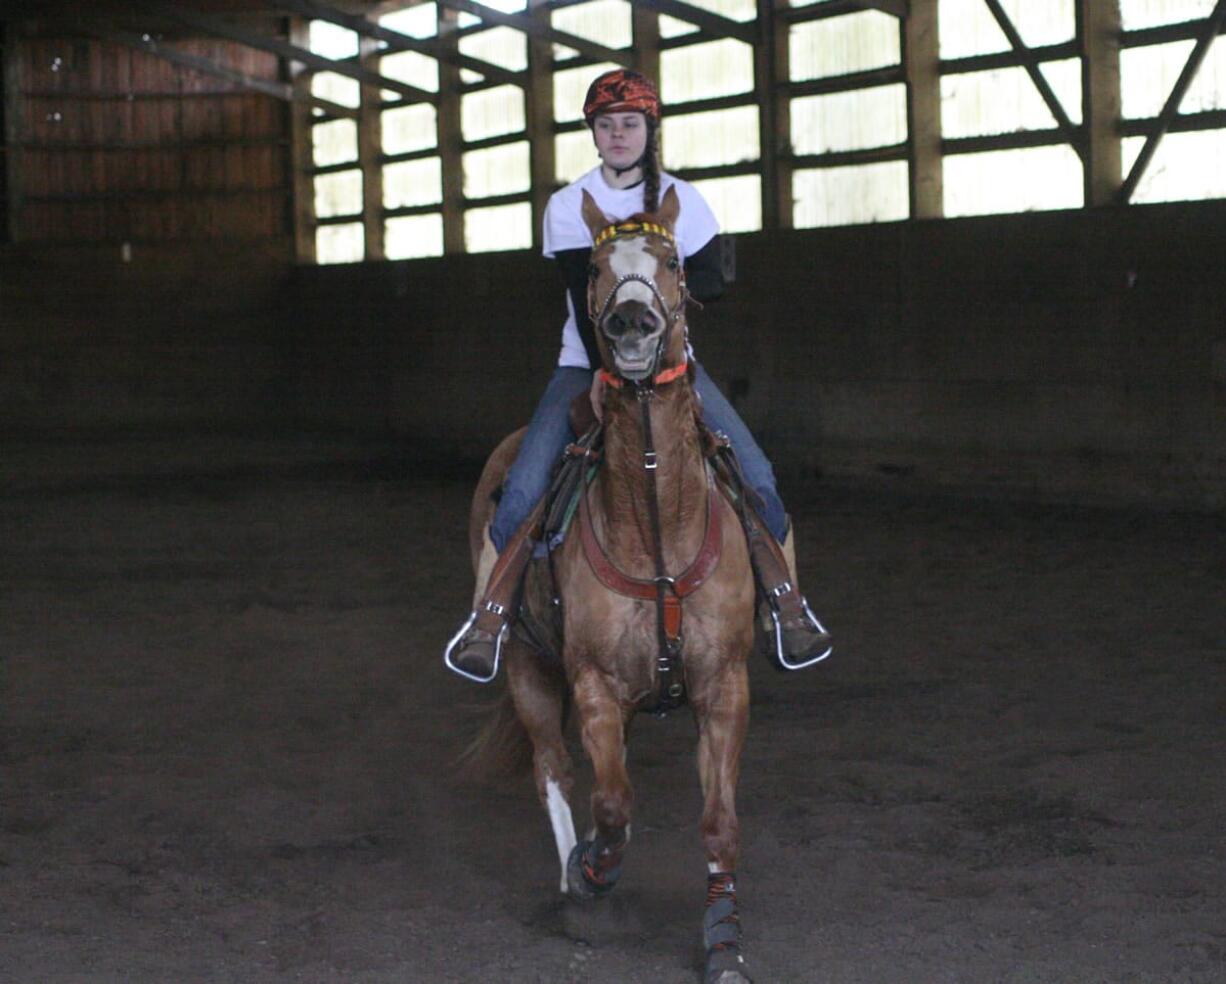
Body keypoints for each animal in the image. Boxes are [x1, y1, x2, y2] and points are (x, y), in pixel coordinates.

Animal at [463, 186, 755, 984]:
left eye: (674, 261)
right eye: (594, 267)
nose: (631, 323)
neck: (656, 519)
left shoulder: (724, 683)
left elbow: (718, 821)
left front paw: (723, 944)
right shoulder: (592, 681)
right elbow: (615, 805)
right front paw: (593, 876)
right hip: (528, 666)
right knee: (557, 771)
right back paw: (573, 879)